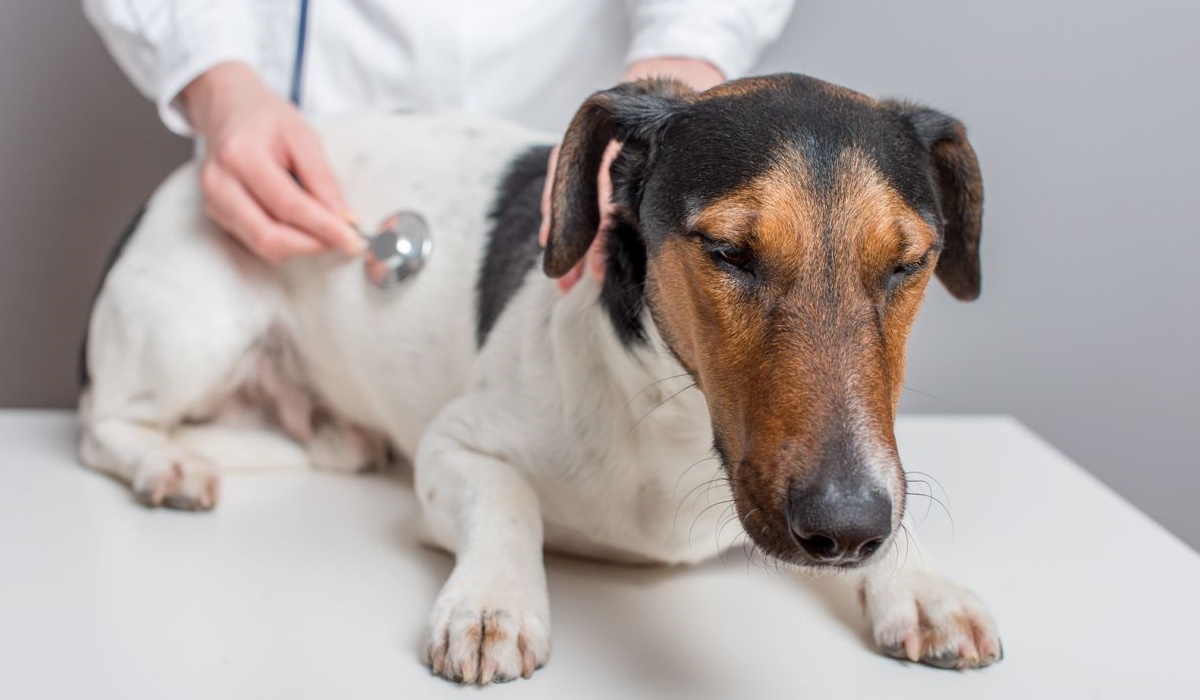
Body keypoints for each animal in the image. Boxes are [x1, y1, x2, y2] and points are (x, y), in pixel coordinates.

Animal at [79, 75, 1003, 686]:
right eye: (728, 252)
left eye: (909, 263)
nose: (846, 529)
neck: (672, 418)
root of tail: (184, 179)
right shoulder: (452, 448)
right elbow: (508, 499)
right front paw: (492, 602)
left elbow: (903, 508)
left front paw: (920, 584)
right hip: (192, 330)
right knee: (100, 423)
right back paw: (167, 462)